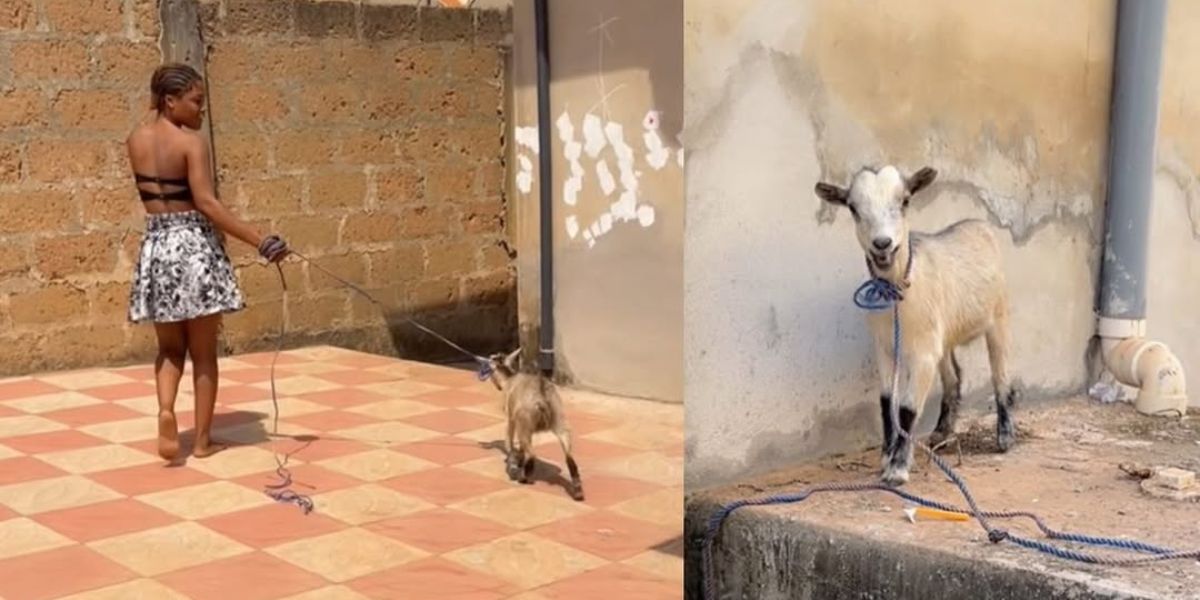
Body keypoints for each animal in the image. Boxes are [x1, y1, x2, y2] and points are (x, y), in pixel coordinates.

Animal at [483, 349, 585, 501]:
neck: (509, 377)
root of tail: (541, 394)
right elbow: (520, 448)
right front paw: (518, 460)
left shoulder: (511, 419)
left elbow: (509, 442)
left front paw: (512, 463)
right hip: (560, 421)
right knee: (569, 457)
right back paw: (578, 490)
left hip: (524, 423)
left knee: (532, 454)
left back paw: (524, 477)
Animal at [815, 165, 1018, 486]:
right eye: (853, 208)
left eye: (906, 200)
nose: (882, 244)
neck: (900, 292)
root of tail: (977, 224)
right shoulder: (886, 348)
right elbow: (887, 401)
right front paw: (886, 456)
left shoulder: (922, 354)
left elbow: (908, 408)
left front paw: (897, 468)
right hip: (944, 335)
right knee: (953, 376)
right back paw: (942, 432)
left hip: (998, 314)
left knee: (1001, 372)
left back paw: (1005, 436)